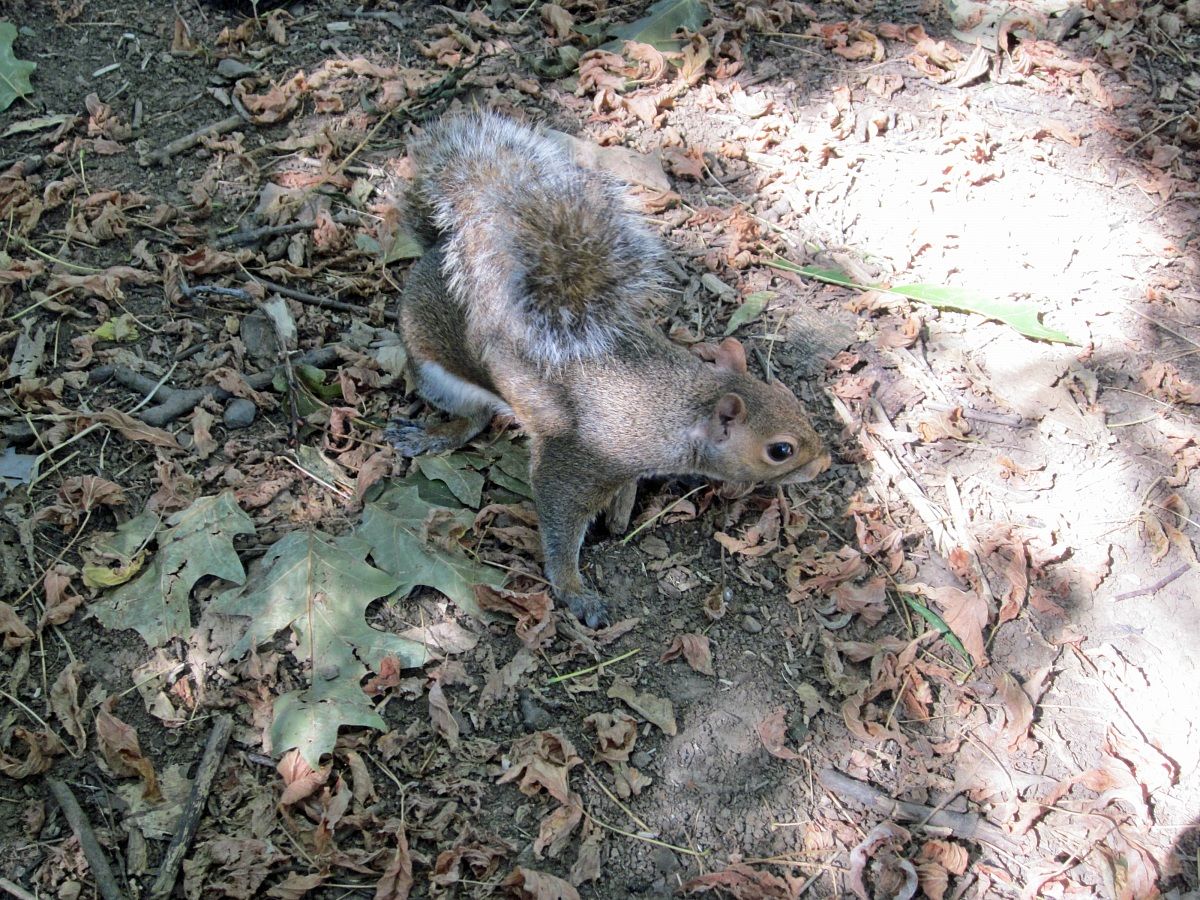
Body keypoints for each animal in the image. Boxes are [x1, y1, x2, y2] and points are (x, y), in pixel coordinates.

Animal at [388, 112, 830, 627]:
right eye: (780, 450)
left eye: (790, 399)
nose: (824, 464)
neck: (678, 406)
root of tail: (439, 249)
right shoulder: (580, 458)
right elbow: (559, 515)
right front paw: (575, 591)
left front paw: (621, 511)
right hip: (434, 368)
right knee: (471, 417)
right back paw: (433, 435)